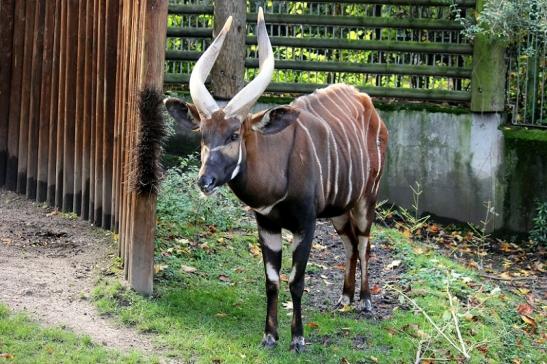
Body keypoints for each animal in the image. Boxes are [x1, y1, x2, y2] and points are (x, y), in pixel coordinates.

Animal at [164, 7, 390, 350]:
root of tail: (368, 104)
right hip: (338, 210)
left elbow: (296, 281)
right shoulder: (267, 224)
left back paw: (364, 301)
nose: (205, 181)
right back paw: (344, 298)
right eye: (203, 135)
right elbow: (272, 280)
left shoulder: (305, 225)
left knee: (364, 242)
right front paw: (270, 336)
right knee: (350, 243)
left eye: (234, 134)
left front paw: (297, 339)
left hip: (367, 198)